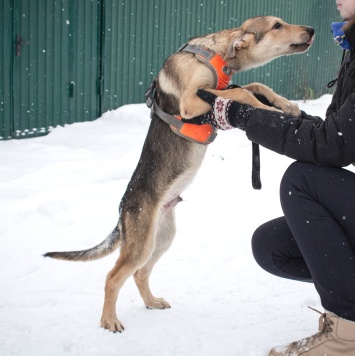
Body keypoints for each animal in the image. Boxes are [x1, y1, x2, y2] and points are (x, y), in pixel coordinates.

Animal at [43, 16, 314, 334]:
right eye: (276, 25)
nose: (312, 30)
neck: (216, 54)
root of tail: (122, 212)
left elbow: (255, 84)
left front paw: (286, 105)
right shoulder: (191, 100)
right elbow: (240, 92)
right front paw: (264, 108)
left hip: (162, 238)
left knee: (139, 274)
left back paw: (151, 302)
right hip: (141, 244)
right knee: (113, 277)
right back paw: (109, 320)